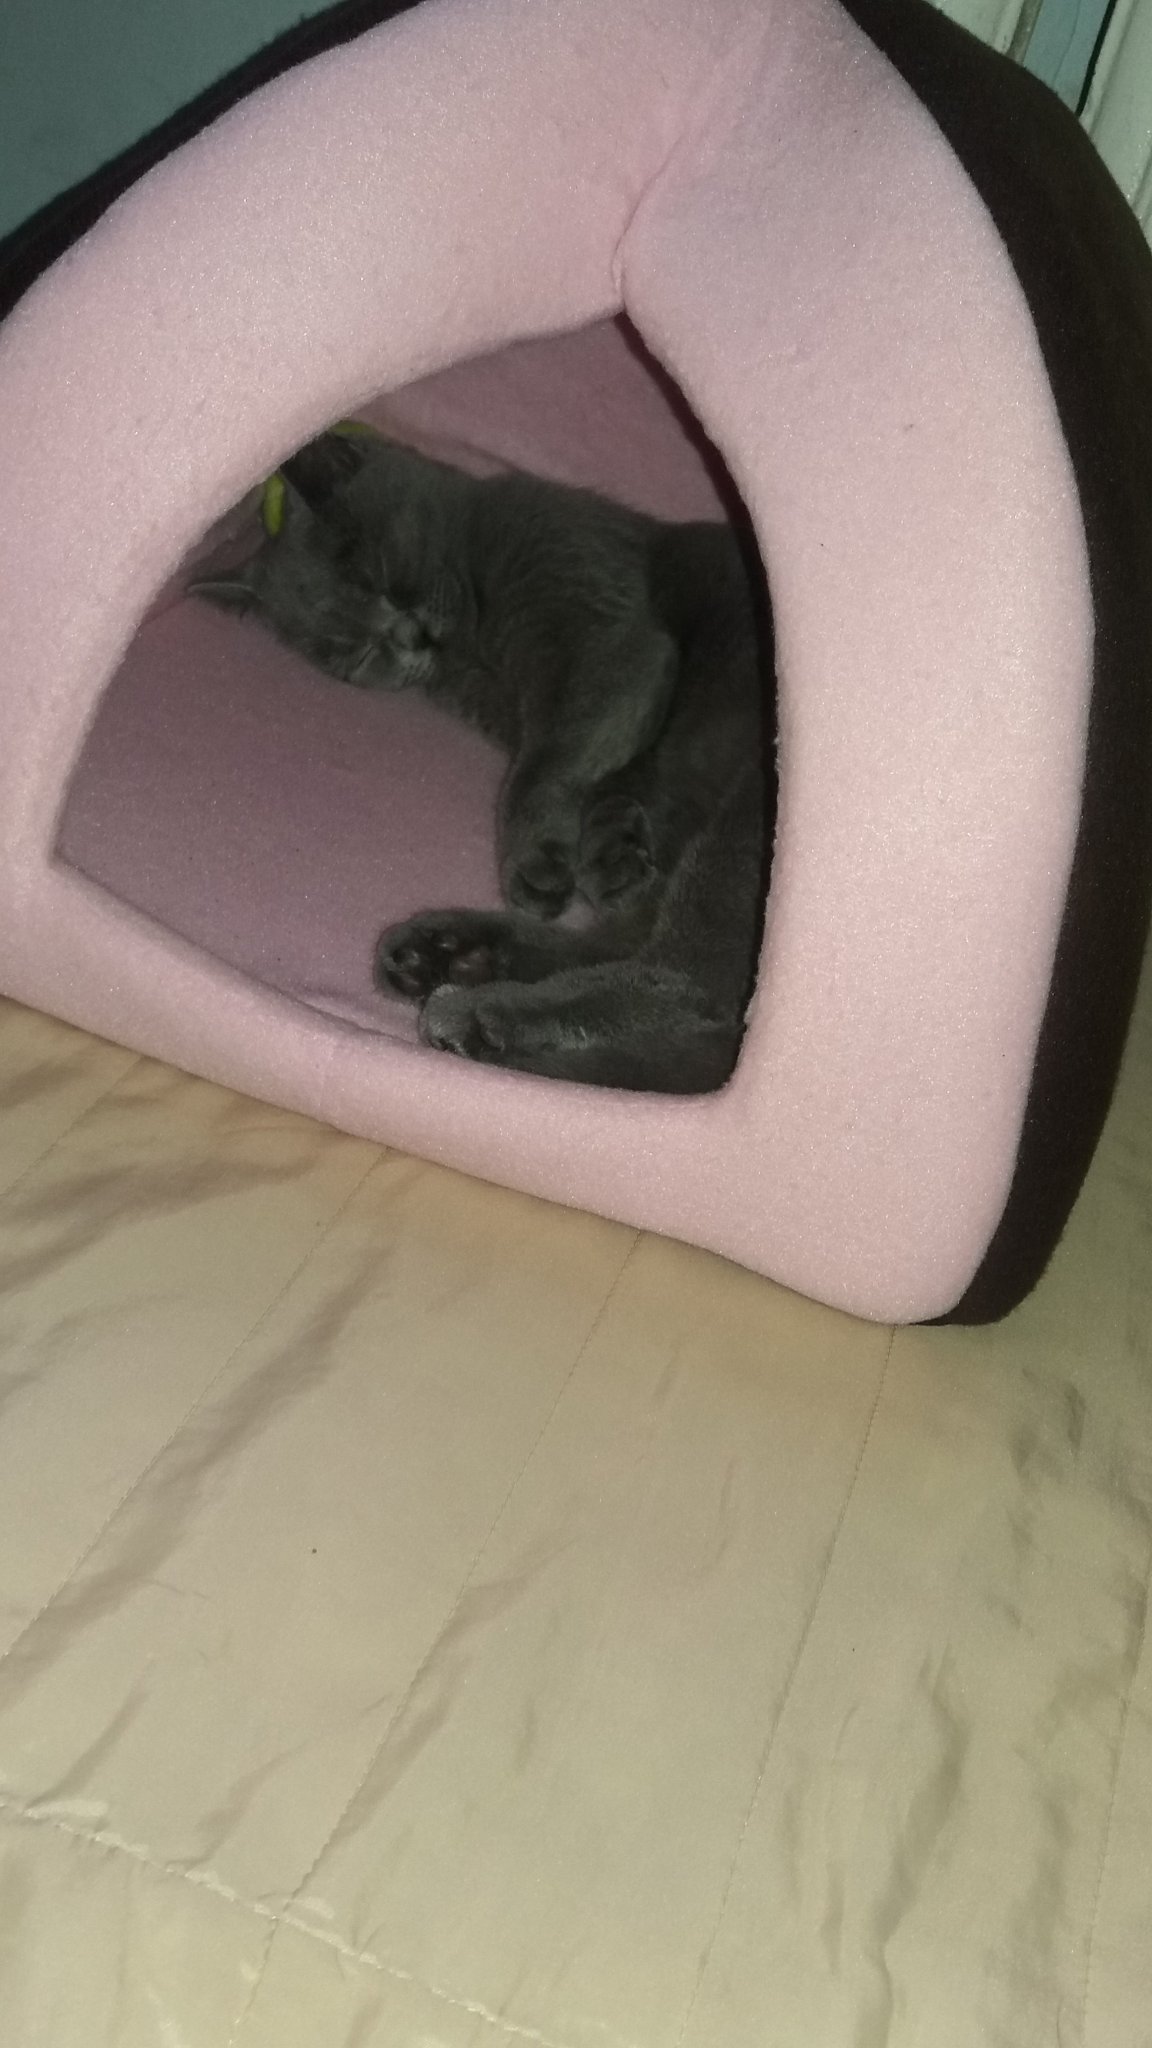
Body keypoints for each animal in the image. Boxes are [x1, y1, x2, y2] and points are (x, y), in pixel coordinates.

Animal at [192, 427, 775, 1092]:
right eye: (353, 652)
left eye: (380, 575)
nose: (409, 637)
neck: (473, 642)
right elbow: (598, 779)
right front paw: (606, 854)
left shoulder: (604, 620)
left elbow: (543, 768)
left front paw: (541, 860)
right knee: (649, 964)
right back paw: (444, 954)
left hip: (745, 828)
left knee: (689, 992)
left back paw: (477, 1011)